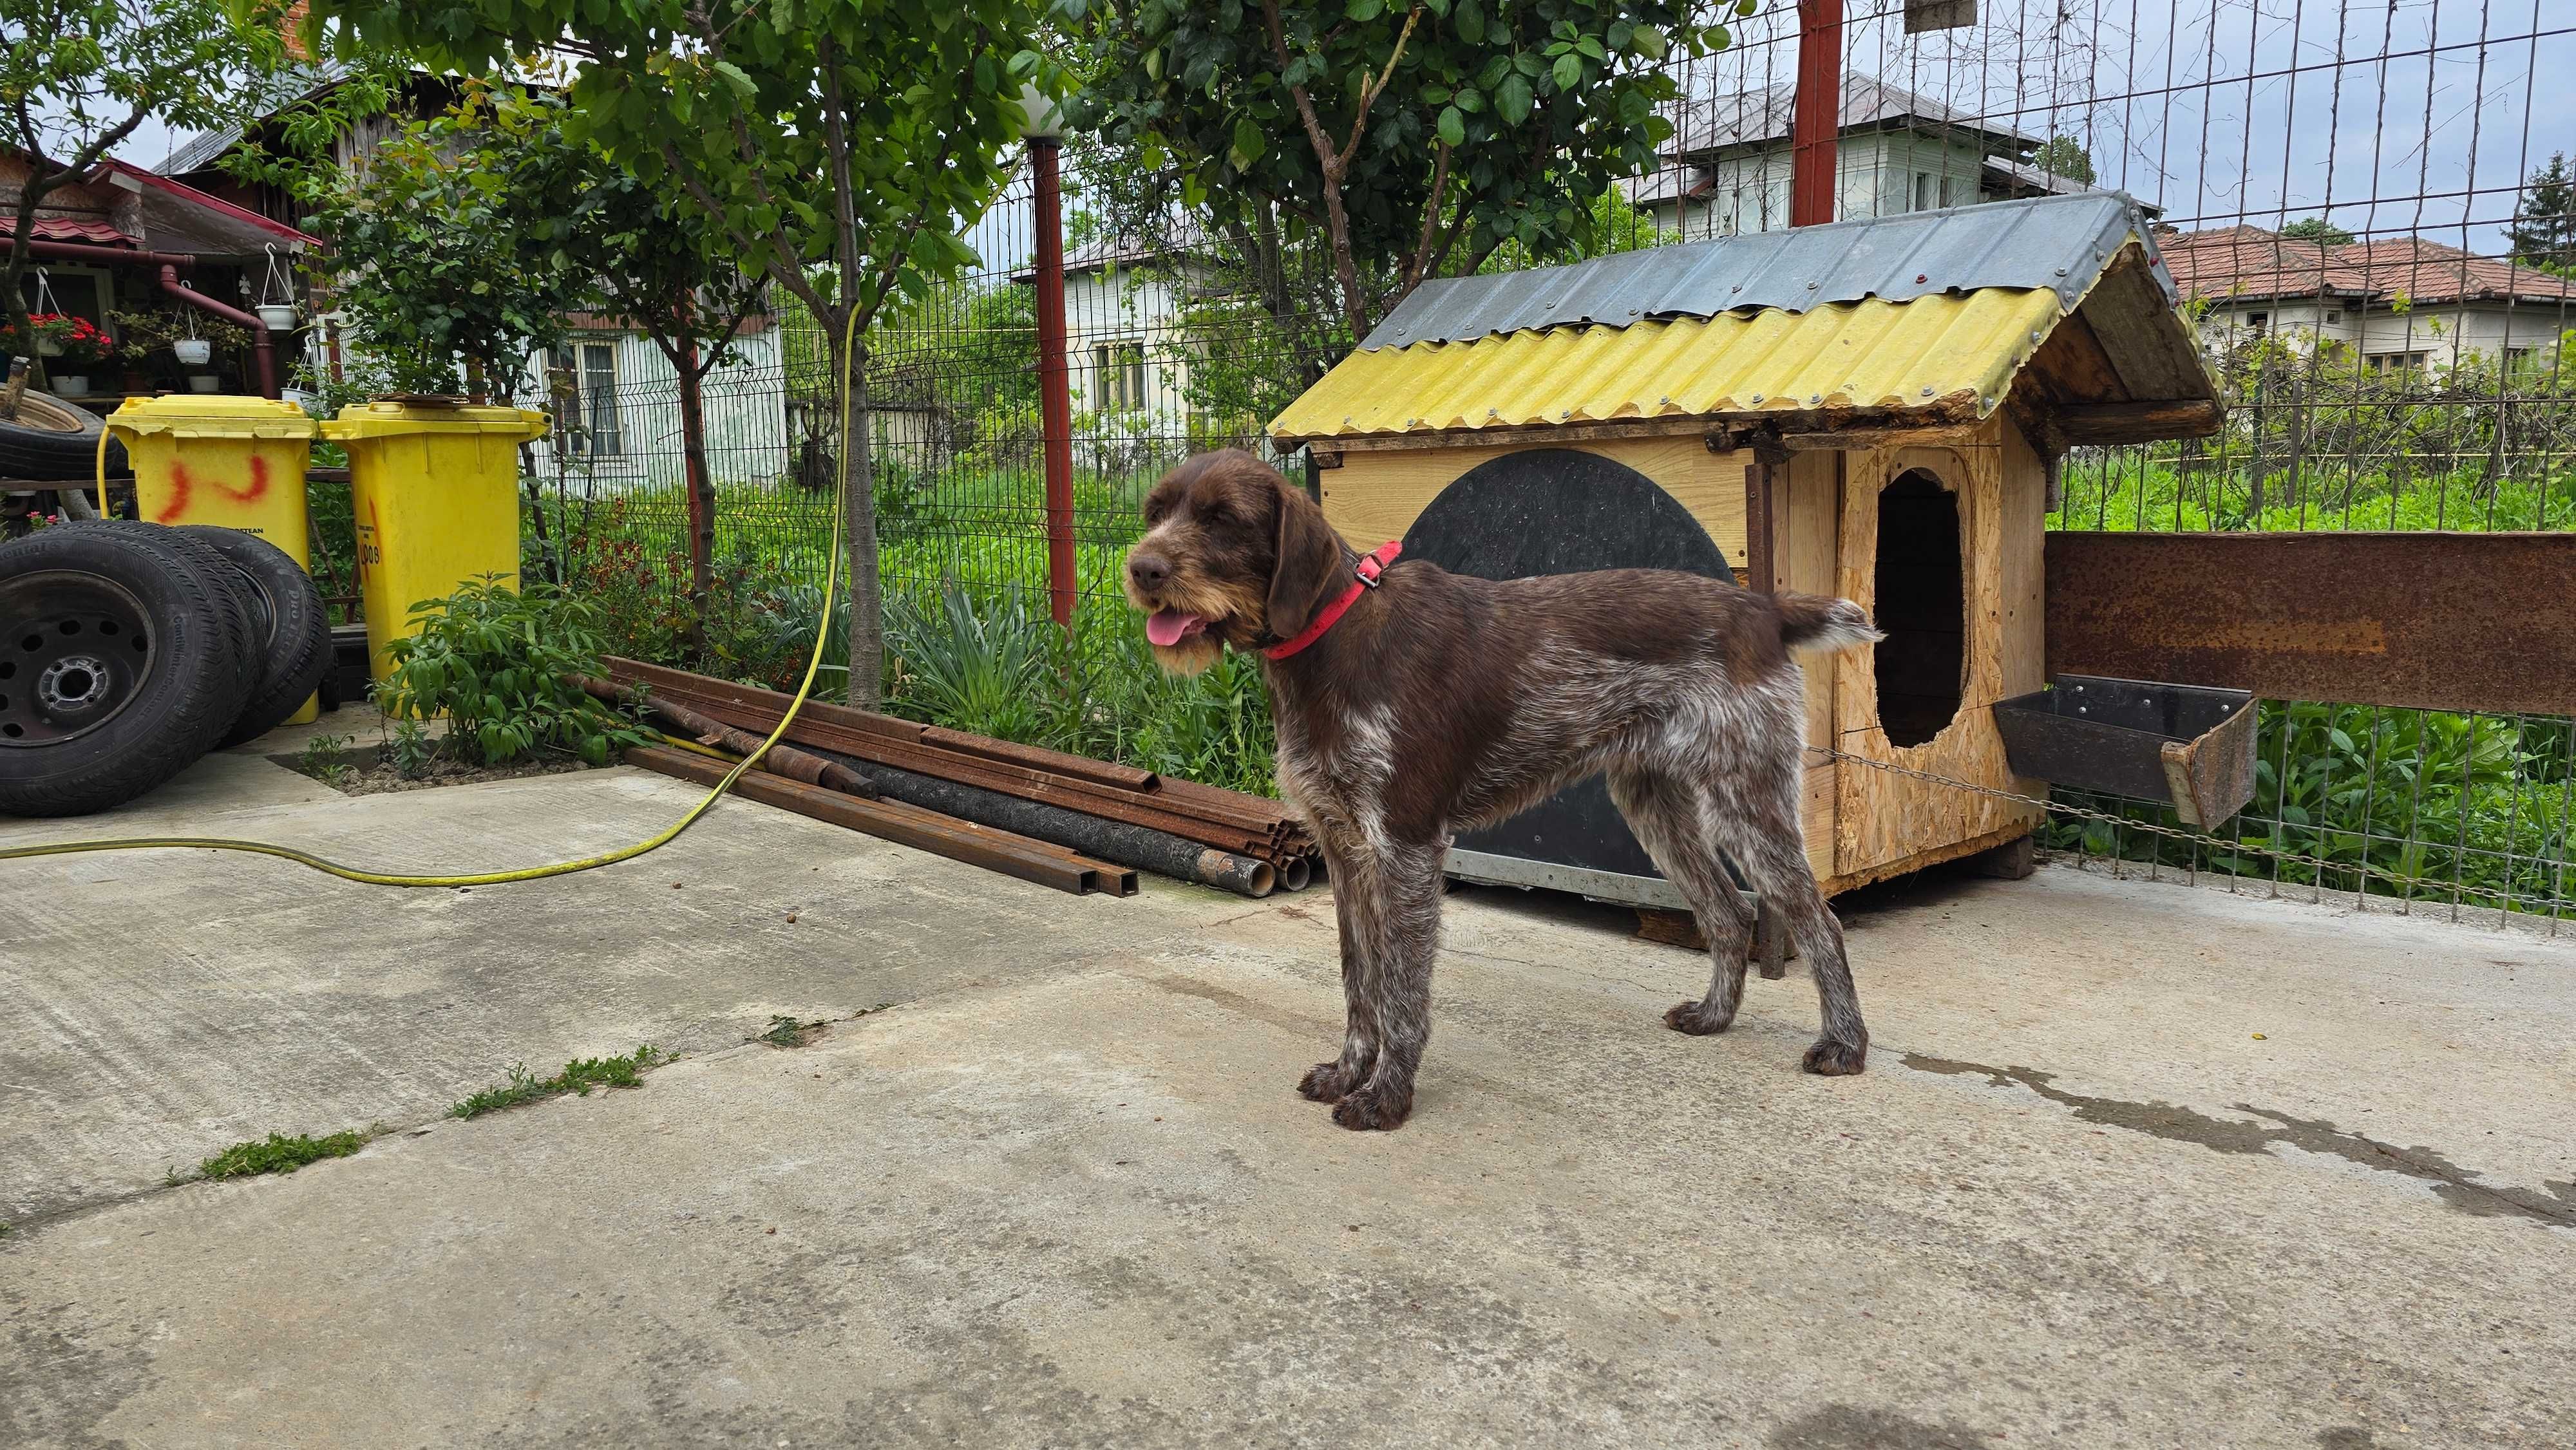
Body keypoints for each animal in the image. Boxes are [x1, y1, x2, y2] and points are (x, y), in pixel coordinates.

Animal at [1128, 448, 1896, 1128]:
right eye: (1156, 511)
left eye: (1221, 519)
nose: (1141, 568)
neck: (1332, 638)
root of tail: (1763, 610)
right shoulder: (1344, 846)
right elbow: (1358, 979)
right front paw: (1350, 1071)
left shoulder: (1405, 846)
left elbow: (1400, 990)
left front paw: (1386, 1097)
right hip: (1654, 806)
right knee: (1729, 914)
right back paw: (1715, 1017)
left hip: (1746, 802)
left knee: (1818, 921)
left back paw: (1844, 1045)